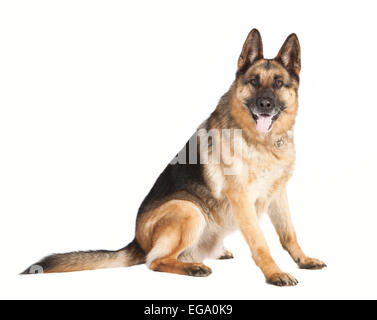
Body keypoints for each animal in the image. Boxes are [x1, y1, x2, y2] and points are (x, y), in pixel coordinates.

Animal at [22, 28, 324, 286]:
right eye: (253, 82)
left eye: (279, 83)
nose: (265, 104)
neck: (261, 141)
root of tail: (137, 241)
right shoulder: (242, 199)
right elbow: (261, 242)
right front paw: (274, 273)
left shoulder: (278, 194)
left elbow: (289, 234)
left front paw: (303, 260)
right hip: (188, 209)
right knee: (155, 261)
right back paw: (193, 267)